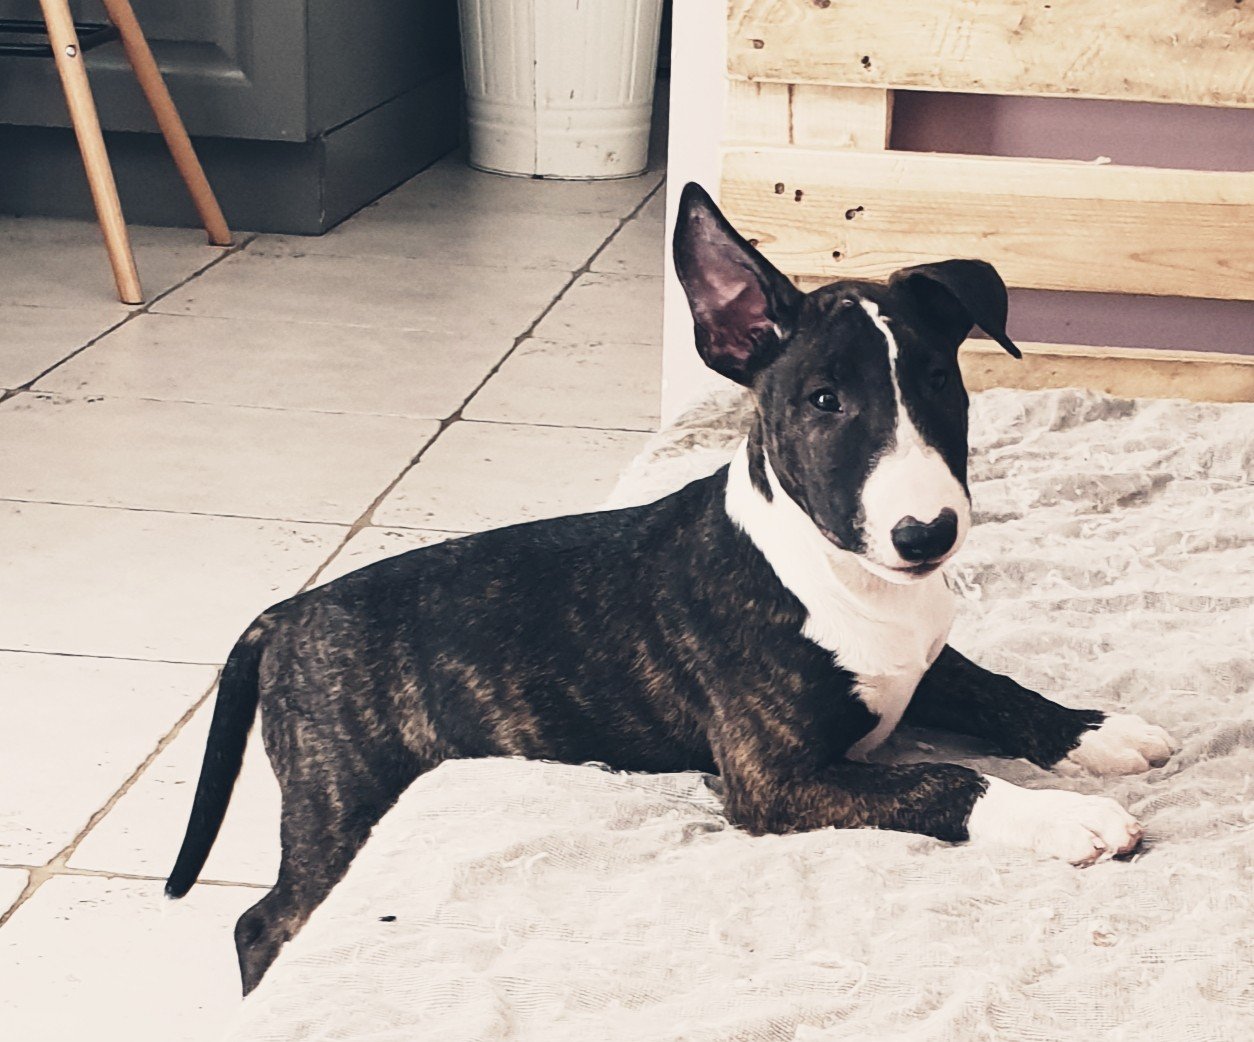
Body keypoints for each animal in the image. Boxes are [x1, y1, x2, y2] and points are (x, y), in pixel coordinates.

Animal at [166, 185, 1173, 993]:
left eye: (937, 381)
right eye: (823, 401)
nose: (926, 534)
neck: (834, 572)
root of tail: (287, 613)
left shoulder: (917, 667)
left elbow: (994, 686)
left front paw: (1098, 733)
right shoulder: (774, 783)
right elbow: (944, 777)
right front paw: (1066, 816)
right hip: (343, 799)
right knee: (265, 919)